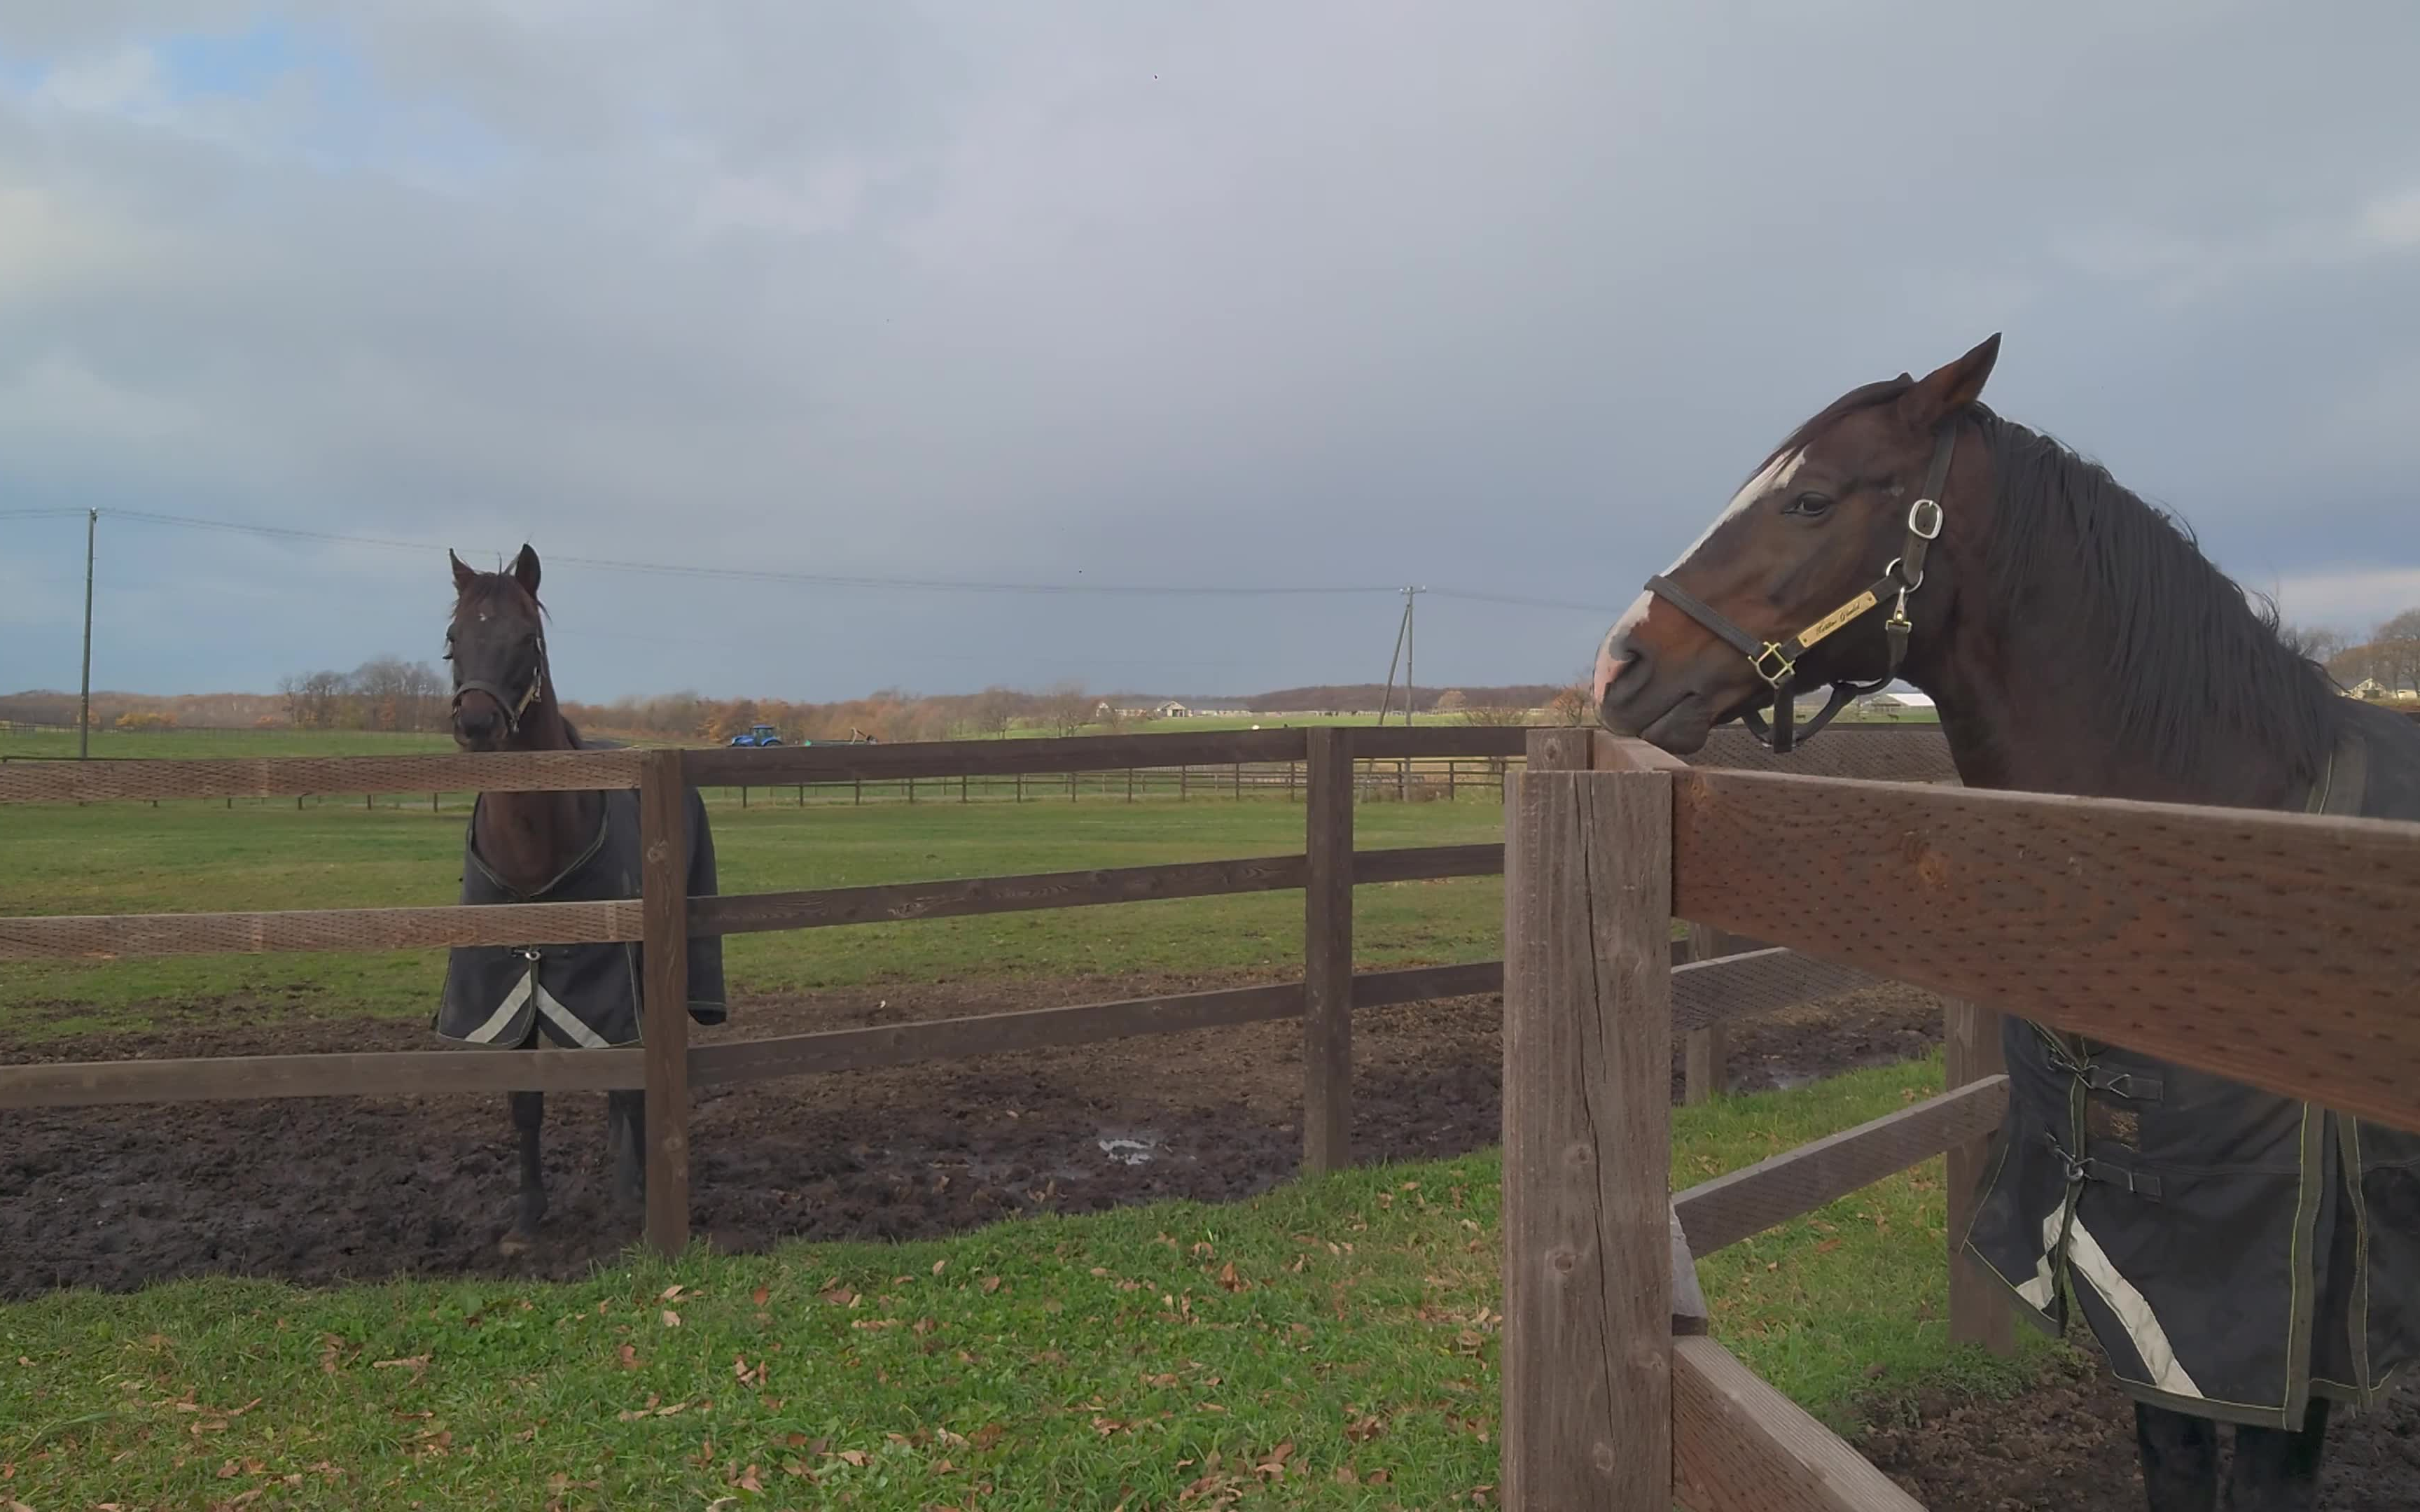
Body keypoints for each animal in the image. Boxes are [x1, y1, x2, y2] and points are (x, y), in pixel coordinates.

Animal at [440, 542, 725, 1248]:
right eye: (454, 638)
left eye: (528, 637)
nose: (478, 722)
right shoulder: (511, 983)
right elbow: (526, 1100)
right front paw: (526, 1215)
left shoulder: (615, 981)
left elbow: (630, 1086)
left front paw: (634, 1195)